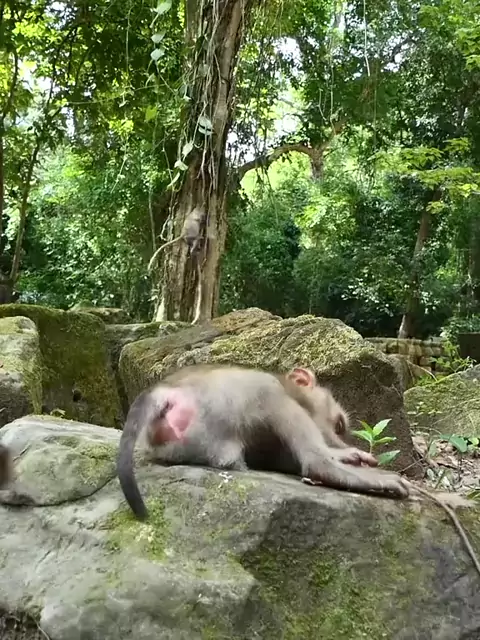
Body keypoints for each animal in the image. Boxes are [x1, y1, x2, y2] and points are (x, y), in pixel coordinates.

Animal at [116, 364, 408, 521]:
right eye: (339, 426)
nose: (339, 441)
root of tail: (162, 393)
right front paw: (347, 455)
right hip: (224, 401)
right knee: (273, 395)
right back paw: (327, 467)